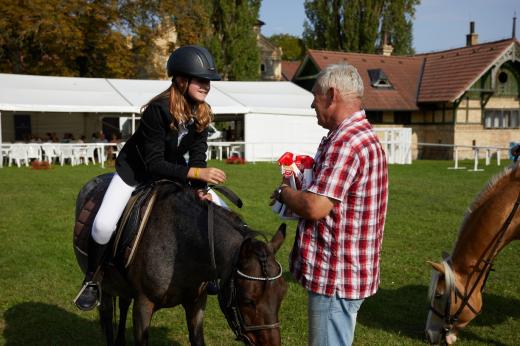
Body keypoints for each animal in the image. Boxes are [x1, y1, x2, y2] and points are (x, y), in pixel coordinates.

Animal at [72, 174, 288, 344]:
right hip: (104, 284)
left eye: (281, 295)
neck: (180, 246)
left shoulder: (196, 302)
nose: (272, 344)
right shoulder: (143, 305)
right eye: (247, 300)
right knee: (107, 316)